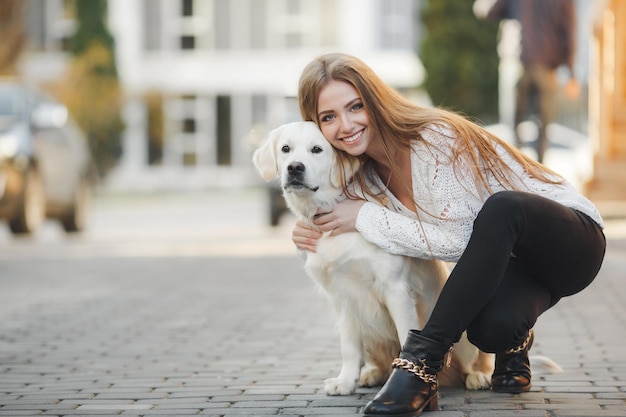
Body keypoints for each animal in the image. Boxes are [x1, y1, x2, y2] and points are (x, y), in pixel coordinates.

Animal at [250, 120, 492, 394]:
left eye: (317, 149)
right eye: (285, 149)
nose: (294, 168)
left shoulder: (395, 289)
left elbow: (405, 339)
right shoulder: (343, 298)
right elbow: (348, 347)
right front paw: (345, 382)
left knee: (476, 359)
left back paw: (478, 376)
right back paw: (372, 373)